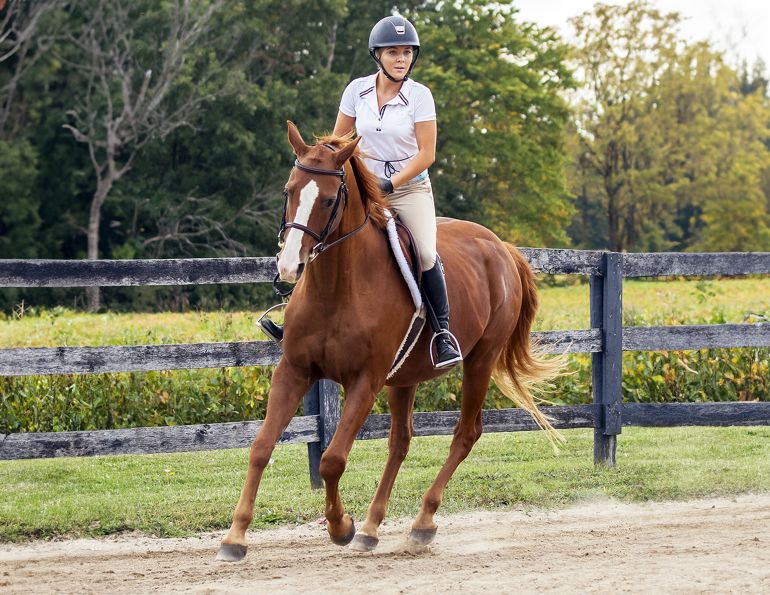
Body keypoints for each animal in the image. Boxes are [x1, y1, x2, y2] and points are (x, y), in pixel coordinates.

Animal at [216, 121, 560, 561]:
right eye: (288, 190)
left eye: (329, 200)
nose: (289, 267)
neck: (337, 287)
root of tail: (502, 247)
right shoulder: (294, 370)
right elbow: (261, 446)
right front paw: (235, 536)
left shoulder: (366, 380)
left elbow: (332, 459)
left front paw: (340, 526)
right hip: (406, 376)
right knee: (400, 443)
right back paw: (371, 527)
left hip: (480, 360)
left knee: (465, 434)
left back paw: (421, 523)